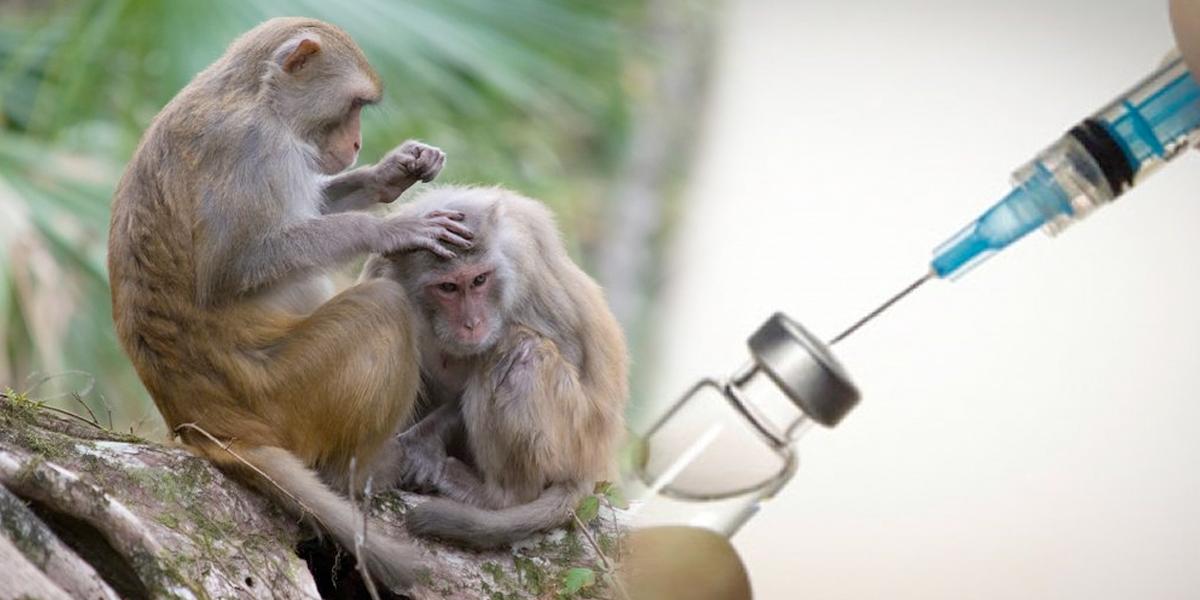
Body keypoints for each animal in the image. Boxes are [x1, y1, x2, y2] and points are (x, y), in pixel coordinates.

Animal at [106, 17, 472, 591]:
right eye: (353, 105)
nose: (357, 142)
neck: (258, 99)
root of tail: (208, 428)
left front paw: (392, 173)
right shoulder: (252, 147)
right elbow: (236, 267)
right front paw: (388, 229)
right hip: (288, 394)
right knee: (383, 308)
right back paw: (362, 472)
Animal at [363, 186, 629, 550]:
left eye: (479, 280)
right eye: (448, 287)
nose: (472, 323)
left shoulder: (526, 266)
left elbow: (571, 353)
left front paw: (425, 440)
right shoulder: (381, 271)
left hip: (576, 436)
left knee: (520, 349)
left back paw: (499, 496)